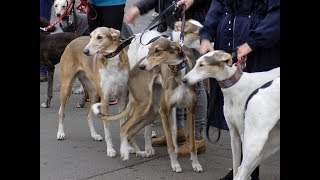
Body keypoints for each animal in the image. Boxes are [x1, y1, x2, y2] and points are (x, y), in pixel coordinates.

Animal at [57, 26, 129, 158]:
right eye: (90, 36)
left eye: (99, 37)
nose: (85, 52)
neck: (111, 60)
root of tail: (73, 40)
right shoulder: (105, 101)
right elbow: (107, 131)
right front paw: (110, 150)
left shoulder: (122, 99)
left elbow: (123, 125)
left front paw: (127, 148)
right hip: (66, 88)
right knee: (61, 112)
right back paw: (60, 133)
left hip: (94, 93)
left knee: (88, 114)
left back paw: (94, 135)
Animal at [182, 51, 280, 180]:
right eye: (197, 62)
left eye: (202, 65)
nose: (184, 80)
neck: (236, 86)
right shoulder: (234, 134)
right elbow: (236, 164)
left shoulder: (243, 133)